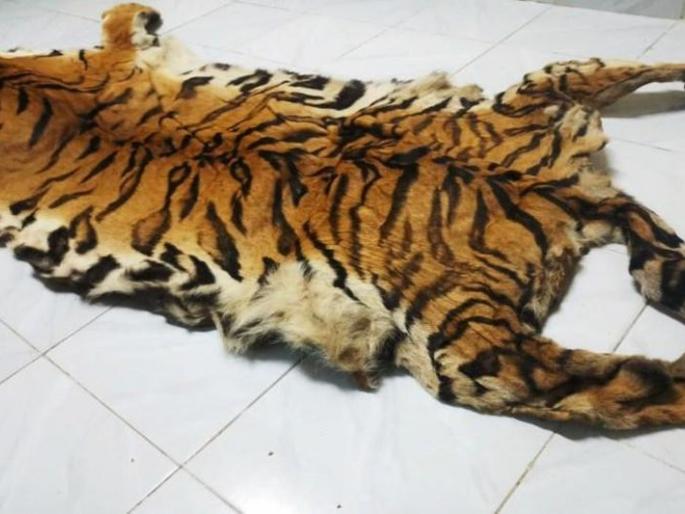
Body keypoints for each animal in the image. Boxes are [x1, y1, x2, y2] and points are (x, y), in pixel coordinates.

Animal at [1, 3, 685, 430]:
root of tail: (549, 181)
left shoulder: (105, 56)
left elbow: (118, 18)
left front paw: (143, 14)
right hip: (541, 101)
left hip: (464, 342)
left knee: (591, 385)